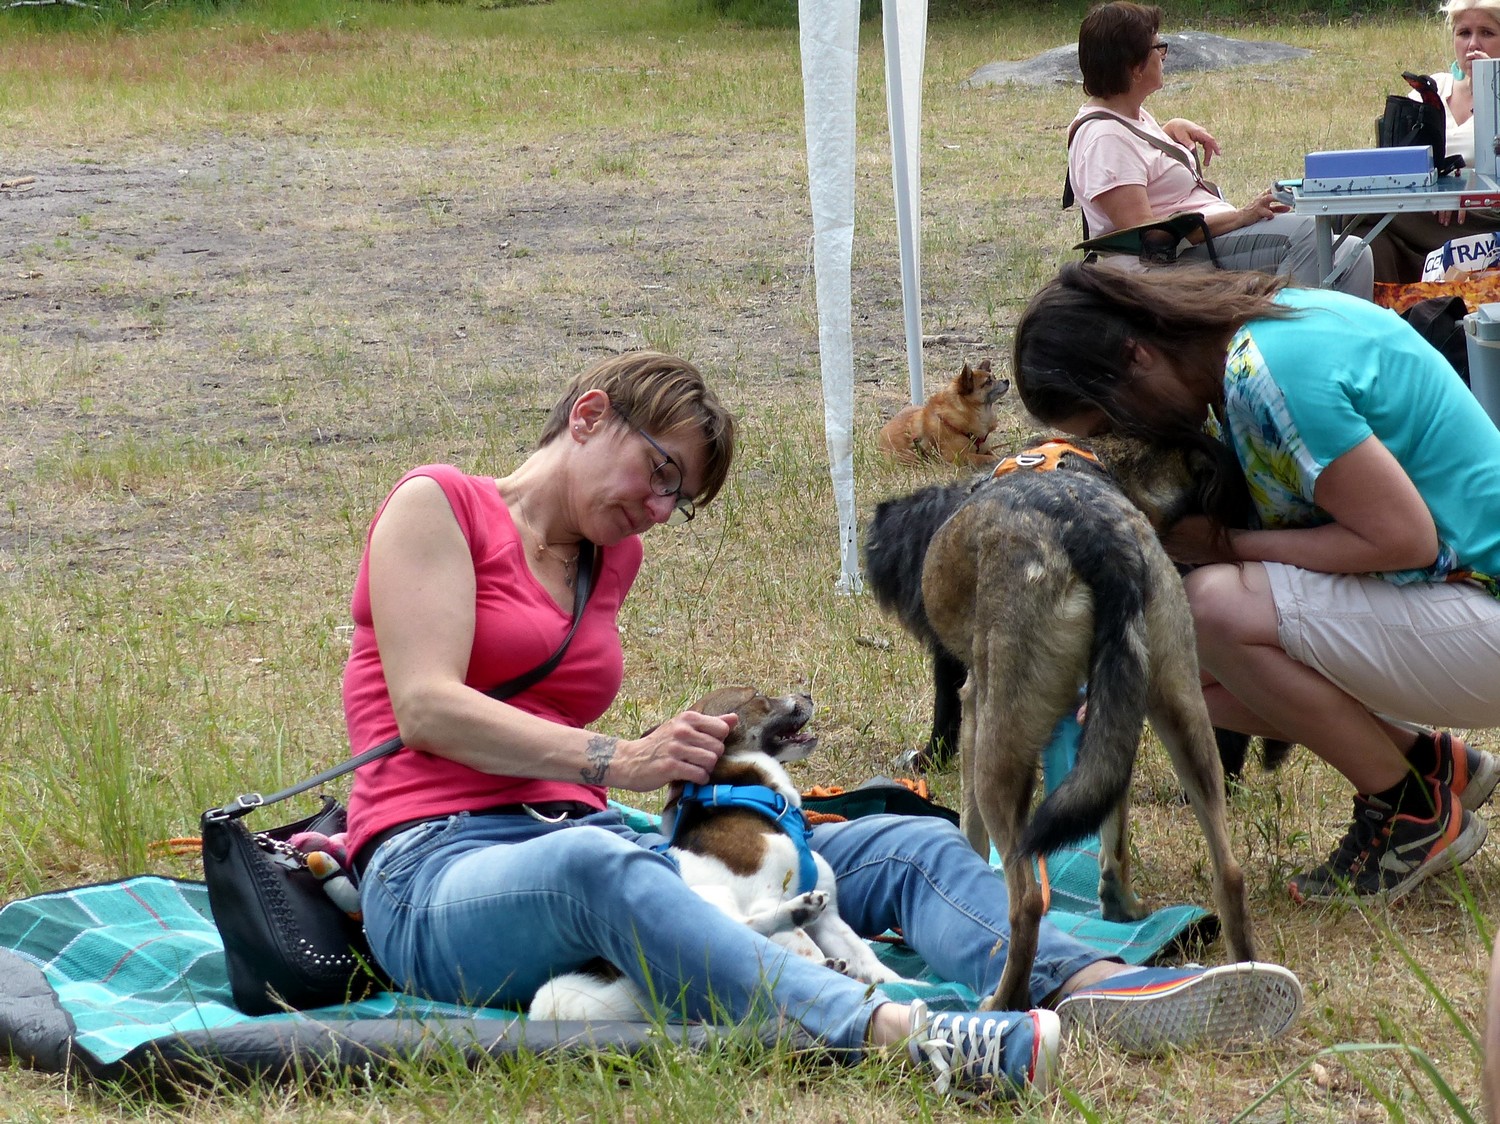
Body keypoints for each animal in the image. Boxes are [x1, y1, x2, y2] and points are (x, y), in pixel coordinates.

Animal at [528, 684, 900, 1014]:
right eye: (757, 696)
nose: (807, 694)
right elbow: (803, 948)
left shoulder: (832, 919)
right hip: (702, 900)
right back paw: (800, 917)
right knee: (739, 930)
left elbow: (867, 957)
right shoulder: (764, 896)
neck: (764, 805)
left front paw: (899, 987)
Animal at [876, 357, 1014, 468]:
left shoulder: (985, 448)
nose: (1007, 380)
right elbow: (986, 458)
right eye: (988, 382)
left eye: (994, 377)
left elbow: (991, 453)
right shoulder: (956, 457)